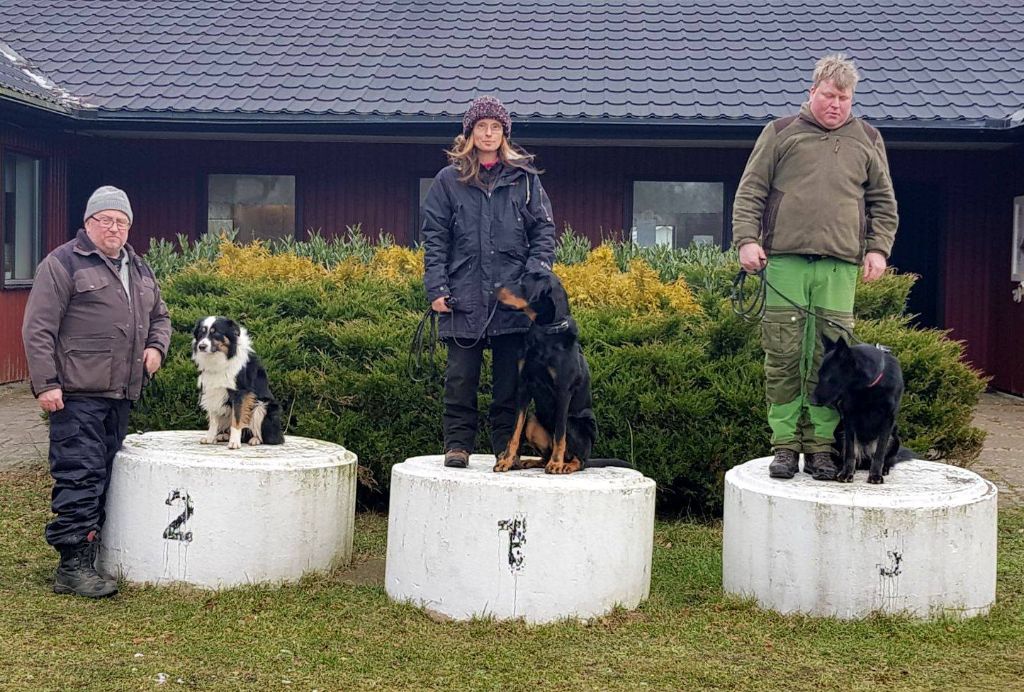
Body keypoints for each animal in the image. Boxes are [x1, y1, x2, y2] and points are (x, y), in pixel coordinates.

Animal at [491, 270, 626, 474]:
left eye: (523, 282)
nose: (494, 285)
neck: (546, 333)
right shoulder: (524, 386)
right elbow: (515, 431)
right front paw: (506, 460)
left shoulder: (563, 390)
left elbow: (559, 434)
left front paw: (556, 464)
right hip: (533, 420)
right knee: (545, 452)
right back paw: (531, 462)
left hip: (575, 422)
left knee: (580, 460)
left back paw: (565, 465)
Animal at [811, 333, 909, 483]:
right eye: (819, 375)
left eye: (827, 378)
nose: (812, 401)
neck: (869, 387)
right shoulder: (849, 417)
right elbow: (850, 451)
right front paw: (847, 473)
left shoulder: (887, 420)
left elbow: (879, 453)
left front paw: (875, 475)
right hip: (838, 433)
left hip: (894, 438)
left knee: (886, 458)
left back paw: (883, 469)